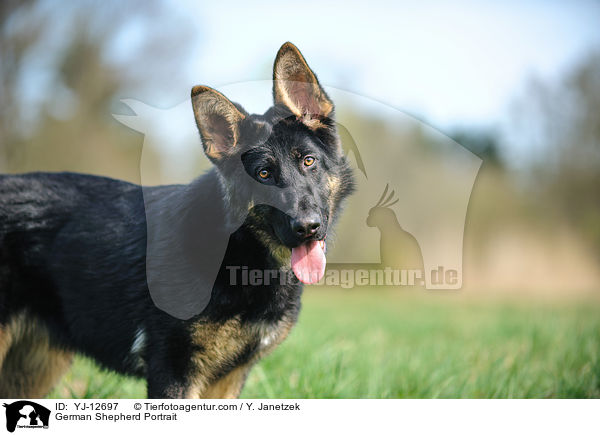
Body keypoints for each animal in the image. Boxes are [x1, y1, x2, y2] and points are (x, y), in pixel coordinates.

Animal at [0, 42, 354, 400]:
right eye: (263, 175)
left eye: (308, 161)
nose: (307, 227)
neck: (237, 250)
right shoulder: (173, 371)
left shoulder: (226, 380)